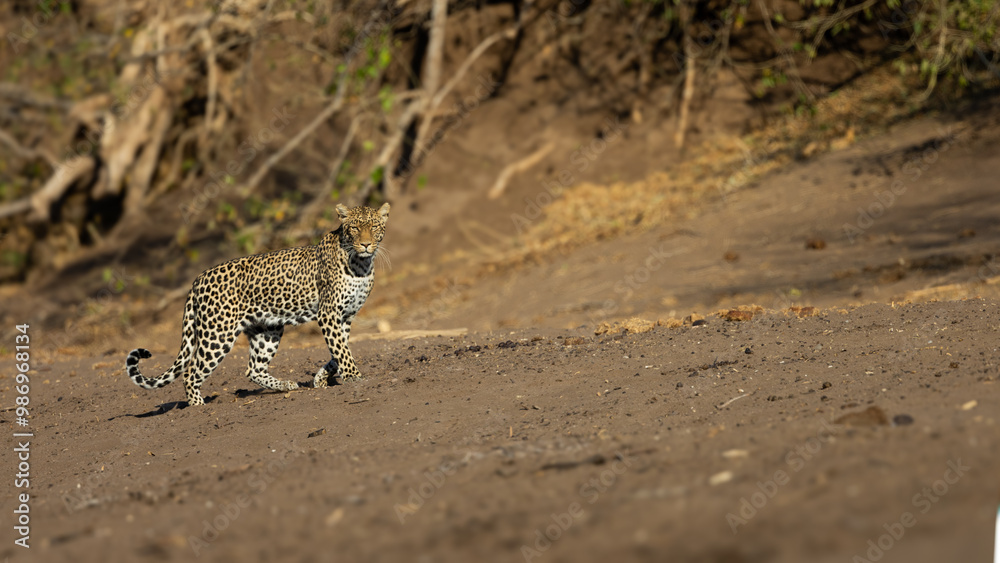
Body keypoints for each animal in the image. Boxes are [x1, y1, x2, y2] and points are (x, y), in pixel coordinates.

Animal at [125, 203, 390, 406]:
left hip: (267, 330)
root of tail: (197, 279)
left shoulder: (346, 317)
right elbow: (342, 350)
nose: (366, 244)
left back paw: (285, 385)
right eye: (354, 227)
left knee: (253, 369)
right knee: (191, 373)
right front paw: (355, 377)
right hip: (217, 335)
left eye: (374, 227)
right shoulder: (329, 313)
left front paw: (322, 378)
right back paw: (197, 407)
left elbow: (339, 350)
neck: (361, 266)